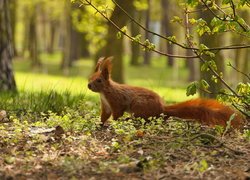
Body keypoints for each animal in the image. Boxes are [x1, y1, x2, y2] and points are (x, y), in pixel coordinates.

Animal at [88, 57, 244, 129]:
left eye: (99, 80)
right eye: (90, 78)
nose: (88, 85)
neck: (104, 92)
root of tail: (162, 109)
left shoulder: (117, 101)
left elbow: (117, 114)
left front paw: (113, 123)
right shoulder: (105, 105)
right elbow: (104, 115)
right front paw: (100, 123)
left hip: (139, 105)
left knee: (146, 119)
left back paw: (130, 120)